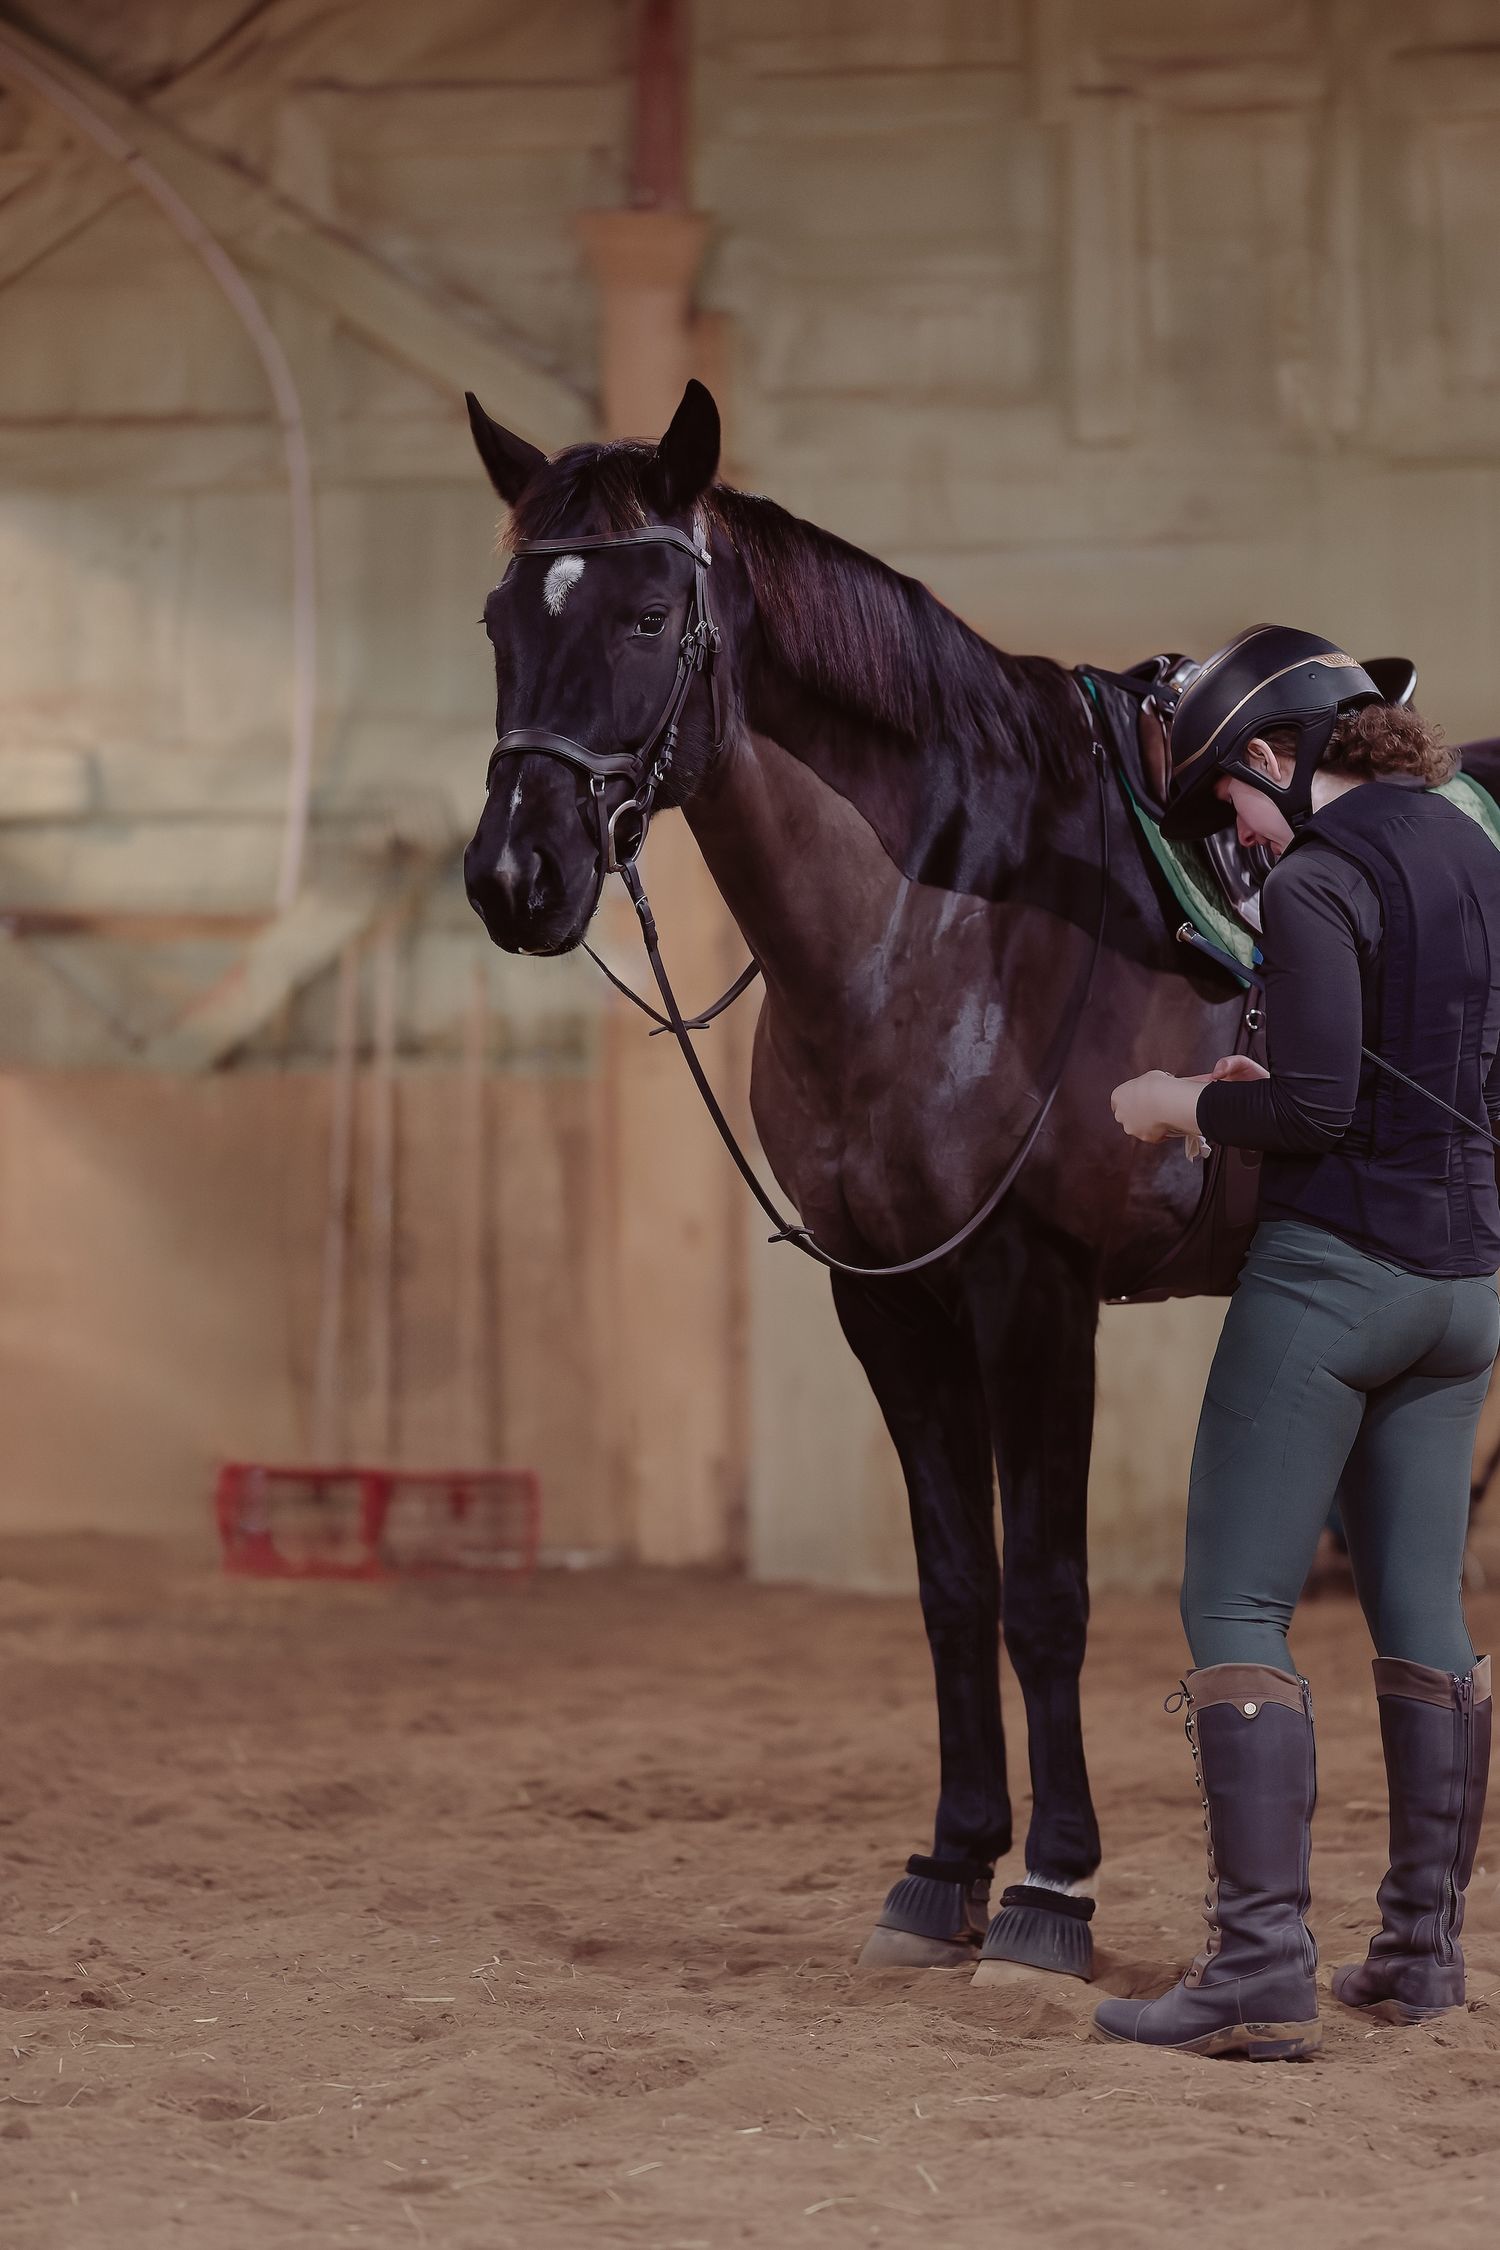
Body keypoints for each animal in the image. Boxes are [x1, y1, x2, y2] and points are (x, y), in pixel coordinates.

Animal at [460, 377, 1258, 1985]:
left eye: (651, 615)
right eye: (502, 618)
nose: (515, 876)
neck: (949, 927)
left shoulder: (1034, 1292)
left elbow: (1045, 1594)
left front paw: (1052, 1896)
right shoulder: (885, 1298)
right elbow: (954, 1587)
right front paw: (948, 1869)